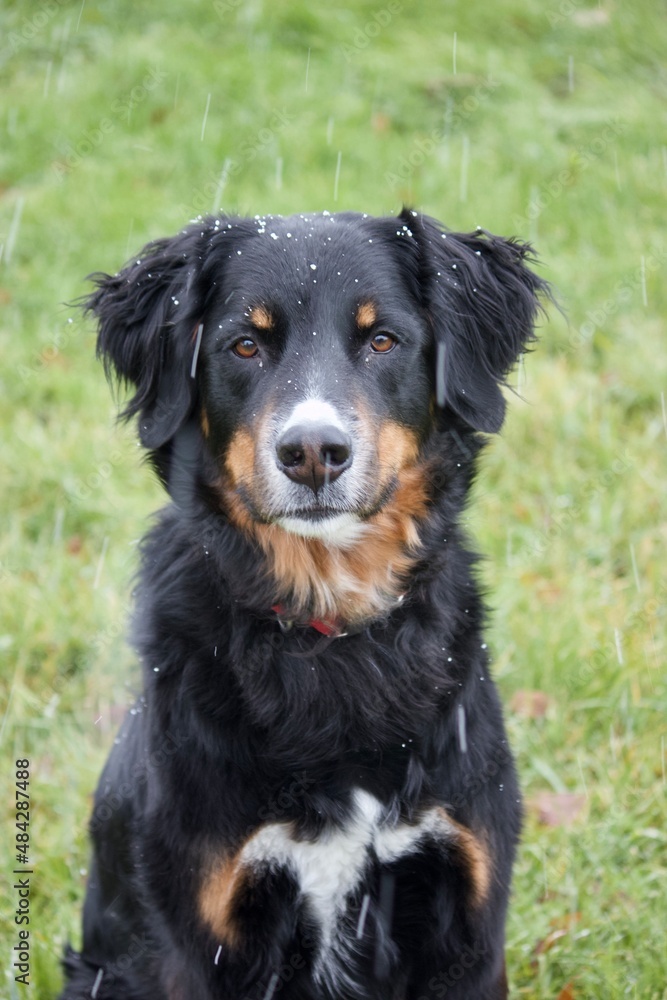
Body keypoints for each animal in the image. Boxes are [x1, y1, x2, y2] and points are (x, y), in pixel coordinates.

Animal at [60, 207, 552, 996]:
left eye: (382, 340)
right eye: (245, 345)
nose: (313, 452)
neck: (330, 630)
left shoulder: (468, 919)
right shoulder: (197, 935)